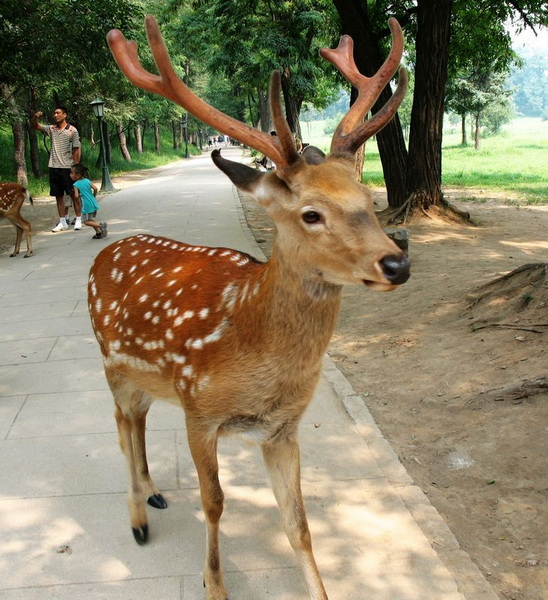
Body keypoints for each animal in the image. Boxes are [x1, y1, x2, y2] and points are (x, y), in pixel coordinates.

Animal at [88, 15, 408, 600]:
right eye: (311, 214)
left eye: (369, 199)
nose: (397, 263)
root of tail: (106, 250)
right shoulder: (198, 409)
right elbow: (215, 504)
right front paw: (213, 584)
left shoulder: (283, 428)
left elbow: (299, 523)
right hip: (110, 362)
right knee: (120, 423)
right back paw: (137, 520)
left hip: (144, 377)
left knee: (138, 419)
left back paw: (154, 493)